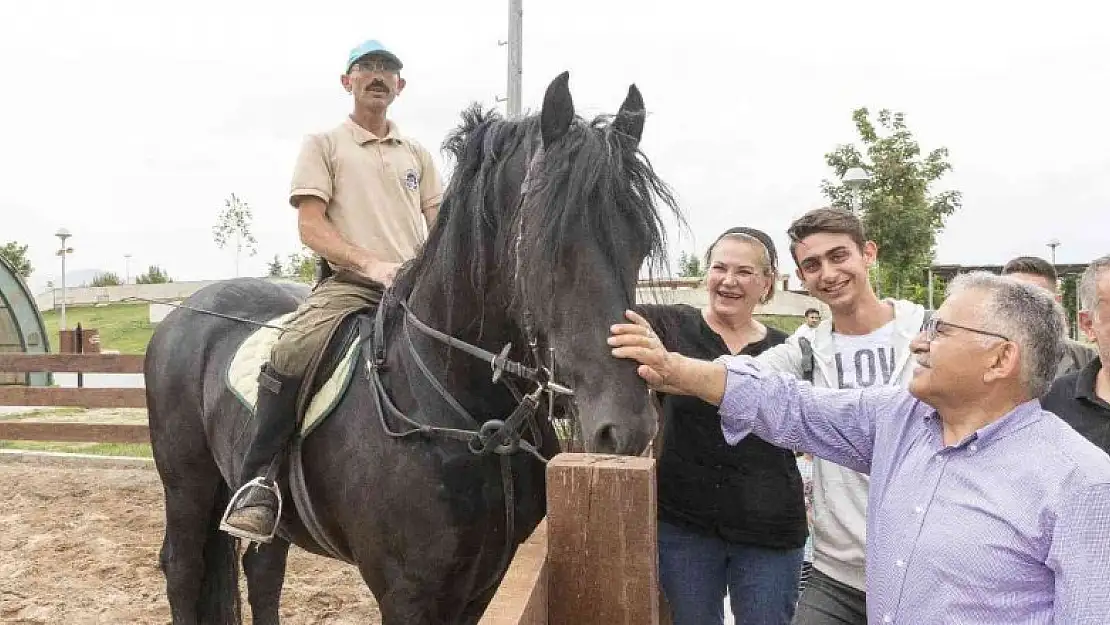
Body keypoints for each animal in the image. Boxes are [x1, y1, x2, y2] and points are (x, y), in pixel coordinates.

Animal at [145, 71, 683, 621]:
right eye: (547, 246)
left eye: (640, 241)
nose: (627, 428)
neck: (465, 411)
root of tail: (188, 310)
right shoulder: (409, 594)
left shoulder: (484, 586)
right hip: (187, 484)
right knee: (183, 569)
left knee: (263, 571)